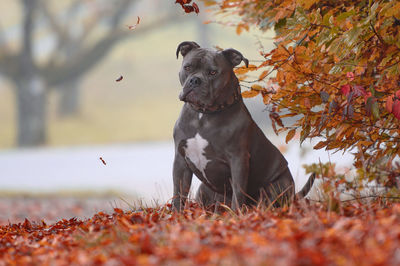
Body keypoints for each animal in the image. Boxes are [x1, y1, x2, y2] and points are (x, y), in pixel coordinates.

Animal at [173, 41, 316, 211]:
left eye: (213, 72)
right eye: (188, 67)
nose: (195, 80)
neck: (203, 114)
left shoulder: (238, 160)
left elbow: (238, 193)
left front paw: (235, 214)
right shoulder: (181, 160)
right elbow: (178, 193)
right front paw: (176, 214)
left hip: (277, 186)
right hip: (203, 191)